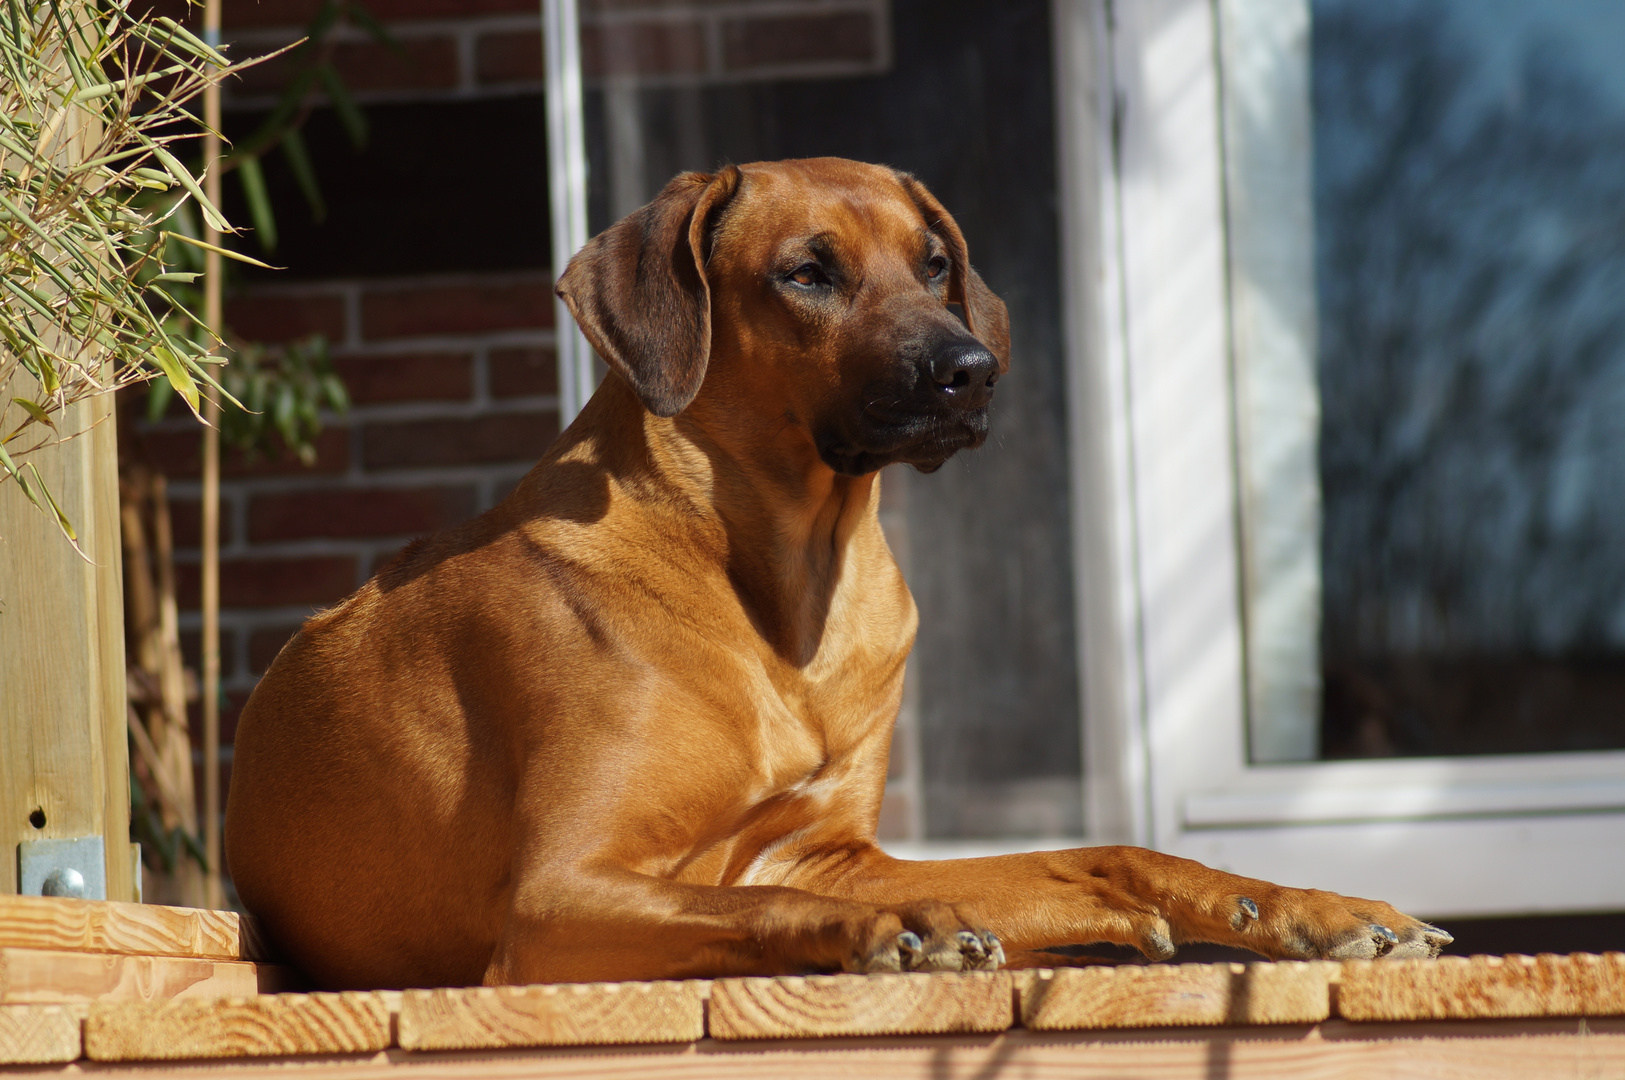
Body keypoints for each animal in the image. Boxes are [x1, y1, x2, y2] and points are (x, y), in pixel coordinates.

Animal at [225, 153, 1449, 987]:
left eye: (936, 264)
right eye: (806, 274)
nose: (972, 372)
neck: (778, 580)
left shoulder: (823, 853)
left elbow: (1100, 852)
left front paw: (1289, 905)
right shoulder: (557, 894)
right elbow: (745, 914)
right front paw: (895, 933)